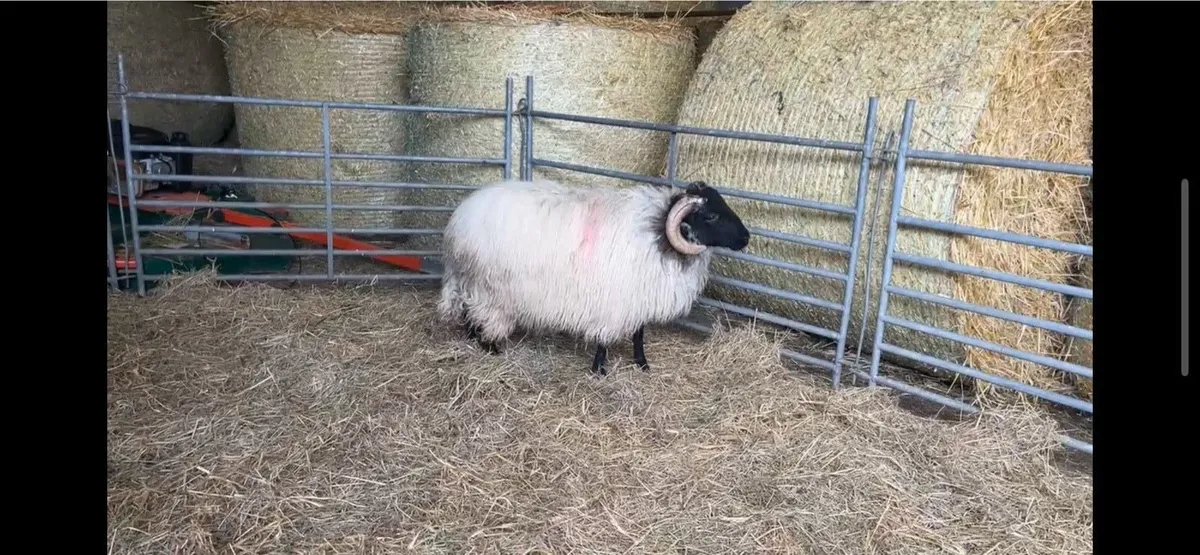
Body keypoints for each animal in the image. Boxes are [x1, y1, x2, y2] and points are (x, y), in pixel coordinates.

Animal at [436, 178, 751, 375]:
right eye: (710, 216)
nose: (747, 237)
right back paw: (491, 348)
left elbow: (639, 333)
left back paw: (472, 338)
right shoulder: (614, 303)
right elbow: (605, 339)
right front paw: (600, 370)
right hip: (488, 288)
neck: (657, 232)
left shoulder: (637, 297)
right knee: (481, 312)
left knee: (467, 310)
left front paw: (642, 364)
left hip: (471, 281)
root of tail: (459, 220)